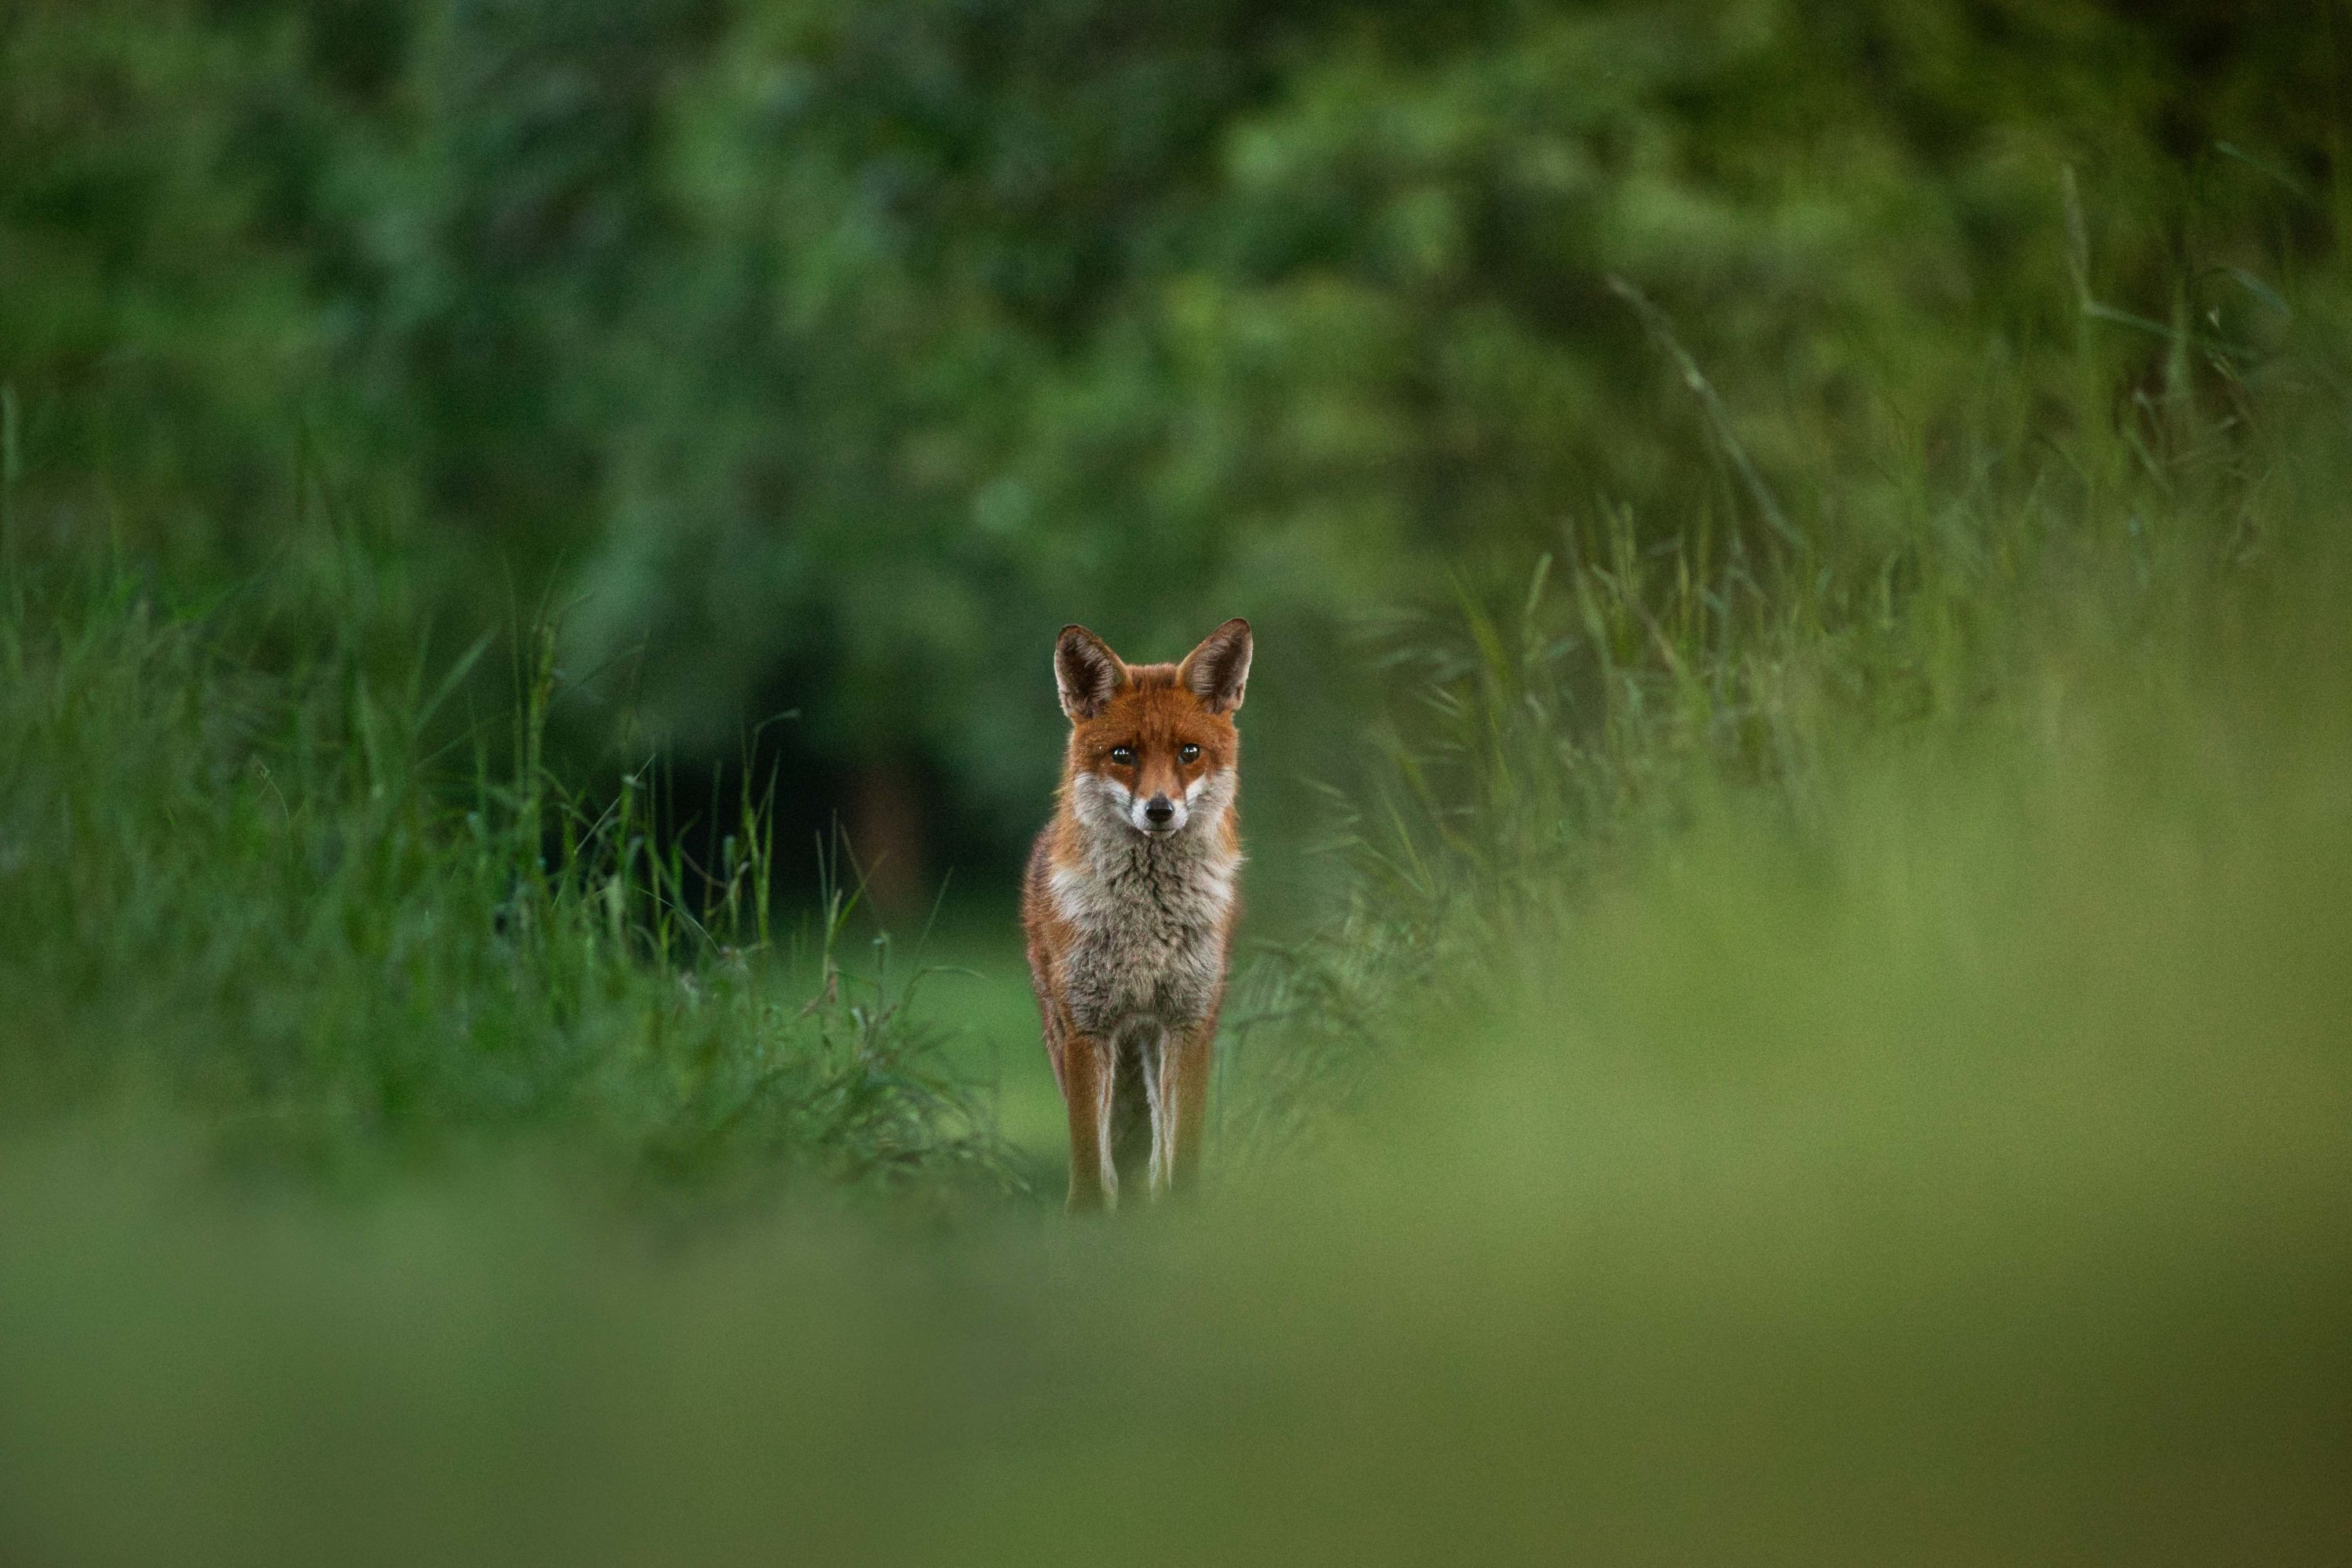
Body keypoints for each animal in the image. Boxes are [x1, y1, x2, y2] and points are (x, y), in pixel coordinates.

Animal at [1022, 618, 1252, 1212]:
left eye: (1189, 751)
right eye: (1123, 754)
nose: (1159, 810)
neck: (1146, 924)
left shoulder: (1190, 1022)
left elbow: (1180, 1155)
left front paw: (1181, 1215)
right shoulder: (1087, 1026)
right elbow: (1089, 1161)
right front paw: (1088, 1219)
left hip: (1150, 1042)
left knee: (1153, 1152)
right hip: (1062, 1031)